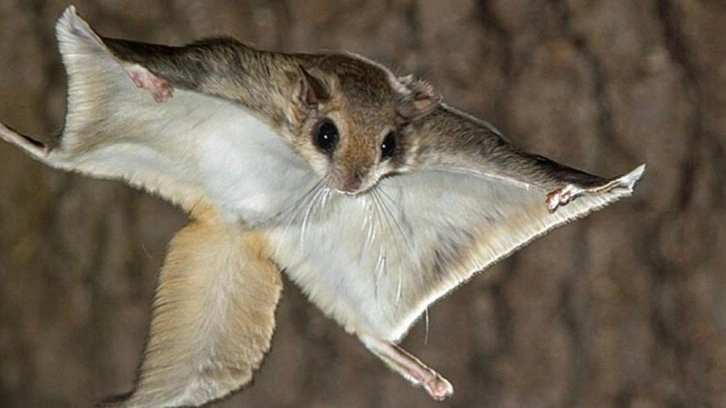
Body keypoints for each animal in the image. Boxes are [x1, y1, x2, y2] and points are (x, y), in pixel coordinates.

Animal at [0, 7, 648, 408]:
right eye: (327, 135)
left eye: (388, 146)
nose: (355, 186)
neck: (301, 162)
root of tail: (239, 227)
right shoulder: (231, 69)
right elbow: (168, 62)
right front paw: (147, 80)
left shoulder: (451, 142)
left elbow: (518, 165)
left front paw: (563, 192)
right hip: (100, 149)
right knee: (57, 157)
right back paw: (18, 135)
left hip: (342, 282)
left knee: (367, 332)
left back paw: (420, 372)